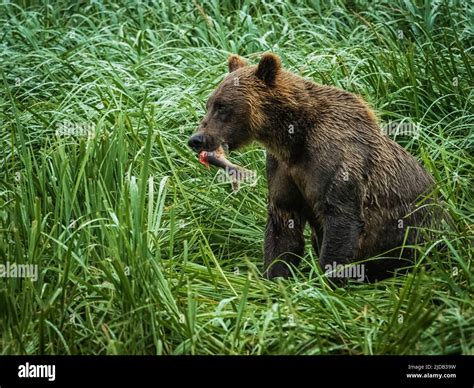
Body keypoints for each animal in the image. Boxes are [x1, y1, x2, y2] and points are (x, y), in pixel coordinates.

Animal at [187, 52, 436, 282]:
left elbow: (341, 221)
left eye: (222, 106)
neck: (293, 139)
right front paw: (275, 278)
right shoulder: (282, 169)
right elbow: (283, 228)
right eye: (209, 104)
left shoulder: (337, 163)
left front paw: (327, 282)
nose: (196, 139)